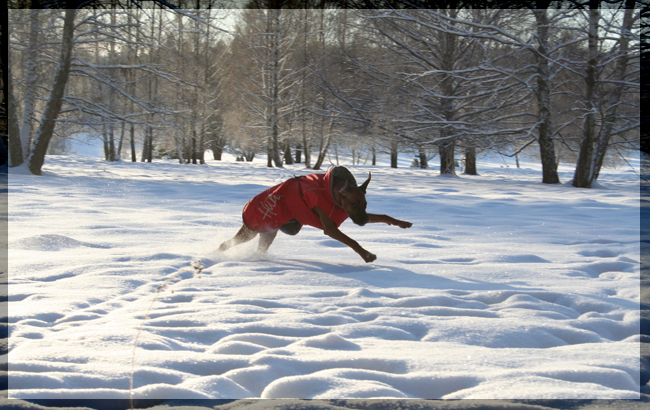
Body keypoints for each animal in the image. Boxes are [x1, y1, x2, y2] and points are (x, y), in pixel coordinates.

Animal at [218, 166, 410, 262]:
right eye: (354, 204)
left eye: (365, 204)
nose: (365, 220)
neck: (330, 194)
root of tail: (246, 205)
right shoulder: (330, 227)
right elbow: (352, 241)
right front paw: (367, 256)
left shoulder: (349, 214)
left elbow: (384, 216)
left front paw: (402, 223)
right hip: (251, 230)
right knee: (225, 244)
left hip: (268, 233)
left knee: (258, 249)